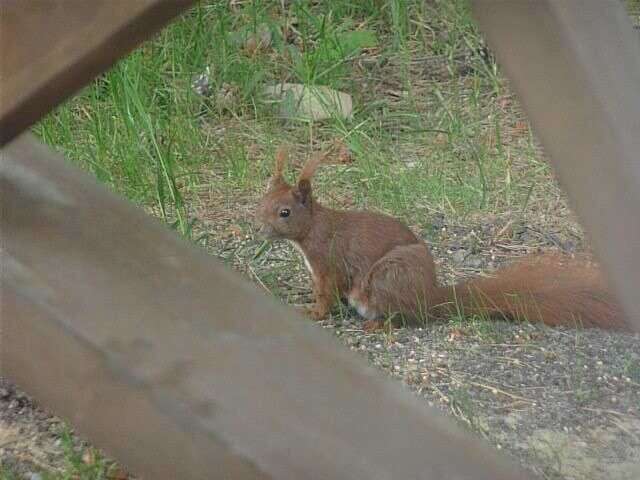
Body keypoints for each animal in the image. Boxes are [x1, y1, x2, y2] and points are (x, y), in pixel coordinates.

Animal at [256, 147, 632, 330]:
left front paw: (312, 311)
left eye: (284, 212)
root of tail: (430, 297)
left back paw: (377, 326)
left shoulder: (328, 262)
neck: (312, 229)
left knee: (402, 318)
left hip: (387, 278)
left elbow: (326, 294)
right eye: (263, 200)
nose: (260, 228)